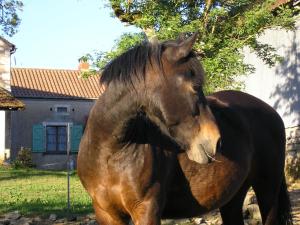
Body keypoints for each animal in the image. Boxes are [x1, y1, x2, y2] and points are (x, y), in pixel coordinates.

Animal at [76, 33, 292, 225]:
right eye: (195, 86)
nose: (216, 141)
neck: (110, 152)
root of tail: (271, 111)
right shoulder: (106, 214)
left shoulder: (145, 210)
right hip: (234, 195)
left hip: (267, 189)